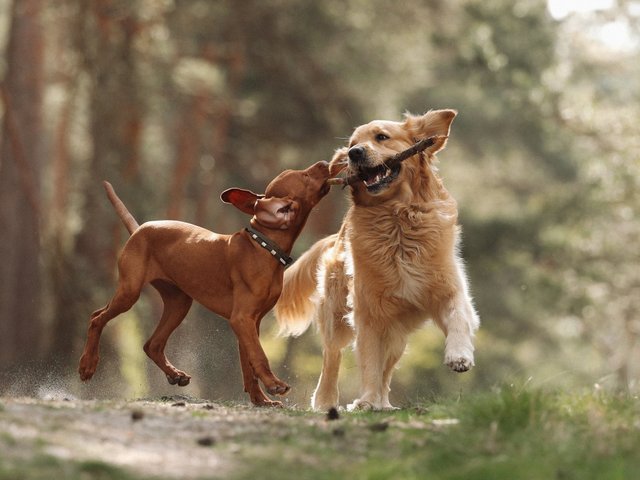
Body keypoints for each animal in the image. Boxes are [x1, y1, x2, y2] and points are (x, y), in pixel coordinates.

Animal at [77, 161, 332, 404]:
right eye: (304, 176)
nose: (324, 162)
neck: (263, 246)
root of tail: (140, 228)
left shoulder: (250, 323)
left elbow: (248, 365)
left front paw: (261, 401)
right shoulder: (241, 319)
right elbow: (259, 356)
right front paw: (274, 384)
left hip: (179, 303)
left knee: (152, 344)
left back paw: (175, 374)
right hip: (130, 291)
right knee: (96, 318)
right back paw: (87, 365)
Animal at [276, 110, 480, 410]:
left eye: (381, 137)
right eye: (351, 144)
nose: (354, 153)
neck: (397, 219)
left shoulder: (448, 288)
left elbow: (458, 317)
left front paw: (459, 355)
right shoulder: (369, 312)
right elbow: (370, 361)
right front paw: (366, 401)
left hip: (397, 333)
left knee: (388, 366)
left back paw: (384, 402)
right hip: (337, 315)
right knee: (332, 356)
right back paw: (327, 400)